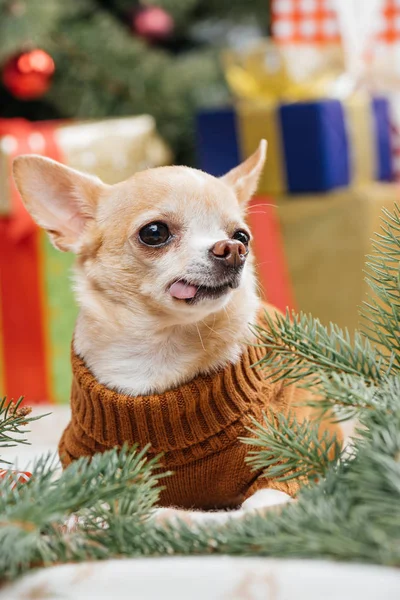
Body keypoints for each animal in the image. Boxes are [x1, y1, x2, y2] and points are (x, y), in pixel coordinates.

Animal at [14, 139, 340, 510]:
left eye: (243, 236)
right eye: (154, 232)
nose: (234, 249)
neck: (159, 350)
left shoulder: (285, 460)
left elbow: (261, 502)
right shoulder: (81, 461)